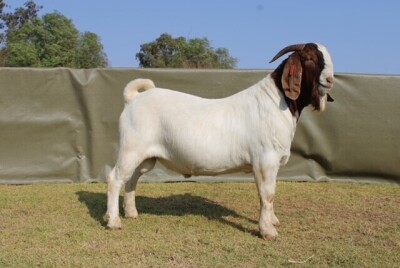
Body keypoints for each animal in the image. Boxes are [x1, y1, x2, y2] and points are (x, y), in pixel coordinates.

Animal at [104, 43, 332, 240]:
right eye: (309, 58)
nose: (330, 79)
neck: (277, 102)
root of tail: (134, 99)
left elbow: (271, 193)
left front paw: (273, 221)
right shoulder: (265, 160)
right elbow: (267, 194)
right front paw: (268, 231)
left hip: (145, 157)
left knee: (132, 179)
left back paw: (131, 212)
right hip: (131, 148)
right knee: (115, 178)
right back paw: (114, 221)